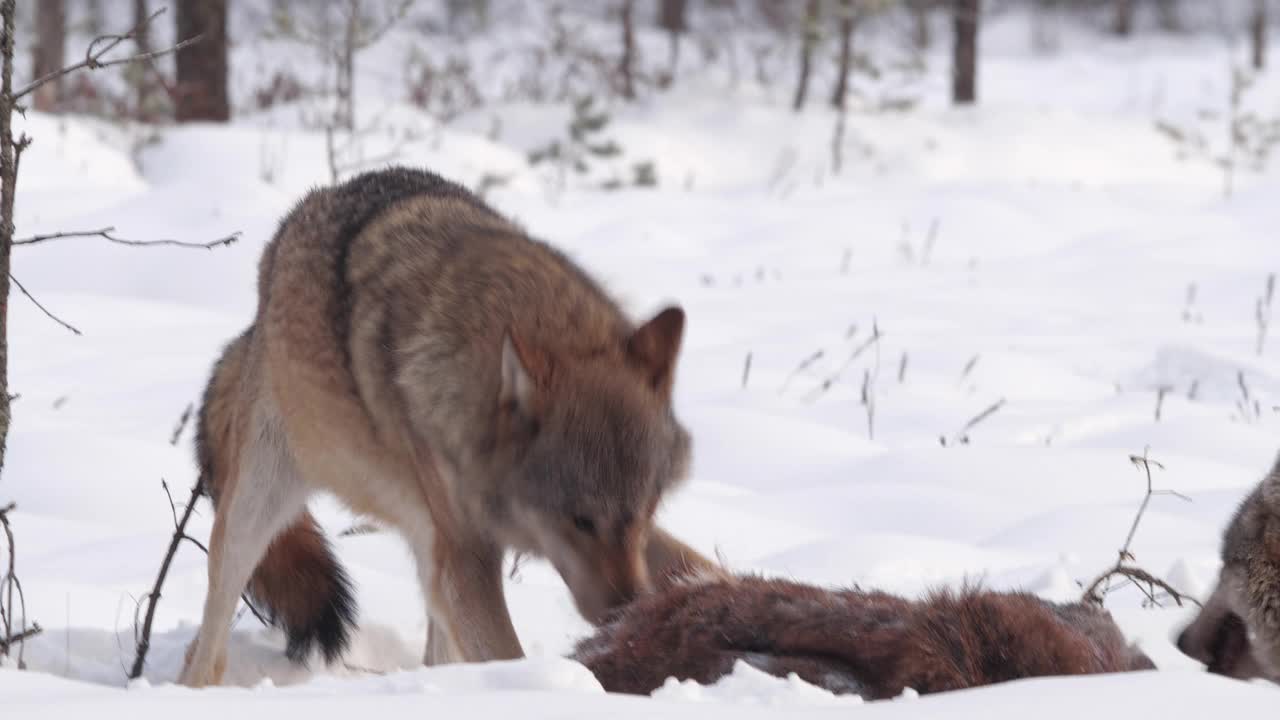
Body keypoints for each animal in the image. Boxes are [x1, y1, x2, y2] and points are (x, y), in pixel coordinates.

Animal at [180, 166, 727, 681]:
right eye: (581, 521)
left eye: (645, 512)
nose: (626, 613)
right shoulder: (466, 557)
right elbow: (507, 653)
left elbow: (703, 565)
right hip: (257, 511)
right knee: (205, 651)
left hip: (422, 550)